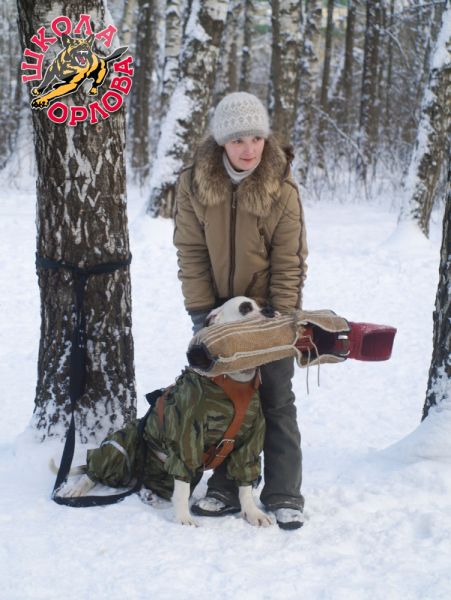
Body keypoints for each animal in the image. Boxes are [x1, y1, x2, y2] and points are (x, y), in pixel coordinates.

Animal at [58, 297, 275, 527]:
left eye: (263, 304)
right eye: (245, 308)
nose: (270, 311)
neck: (233, 383)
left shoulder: (249, 443)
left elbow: (245, 484)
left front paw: (253, 513)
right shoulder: (186, 439)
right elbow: (182, 489)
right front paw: (183, 518)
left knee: (149, 487)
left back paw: (149, 495)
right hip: (122, 445)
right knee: (95, 470)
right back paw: (77, 488)